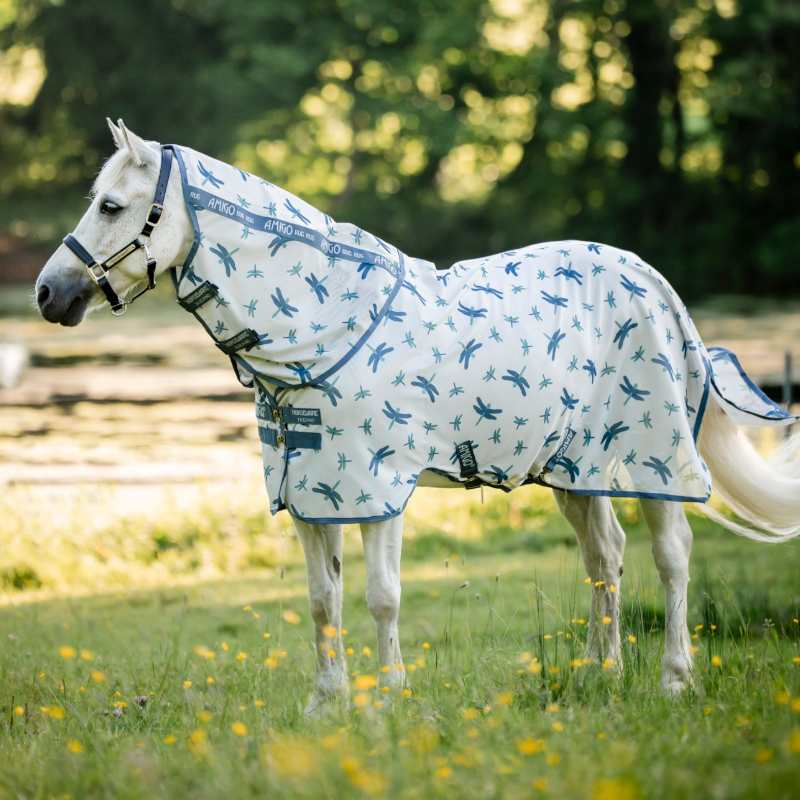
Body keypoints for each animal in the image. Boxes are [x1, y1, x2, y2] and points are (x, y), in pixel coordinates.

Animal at [36, 120, 799, 711]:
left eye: (112, 206)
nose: (49, 294)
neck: (325, 329)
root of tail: (651, 279)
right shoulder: (312, 492)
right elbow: (322, 597)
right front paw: (327, 705)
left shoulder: (377, 489)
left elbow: (382, 596)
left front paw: (388, 700)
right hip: (574, 467)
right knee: (604, 557)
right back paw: (600, 675)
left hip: (652, 455)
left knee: (673, 557)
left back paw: (674, 681)